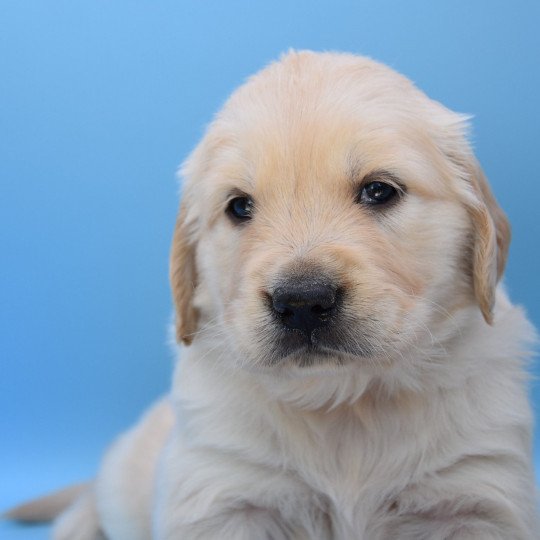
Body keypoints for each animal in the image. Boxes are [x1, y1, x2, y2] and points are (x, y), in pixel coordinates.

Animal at [12, 51, 536, 540]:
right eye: (239, 206)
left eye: (379, 190)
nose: (303, 302)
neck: (343, 402)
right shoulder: (221, 490)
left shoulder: (477, 492)